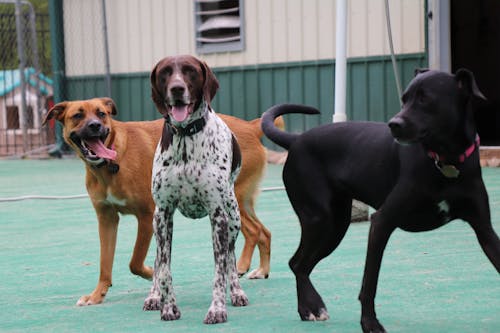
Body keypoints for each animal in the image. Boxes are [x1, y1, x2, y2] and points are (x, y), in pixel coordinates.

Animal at [42, 95, 276, 304]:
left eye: (101, 114)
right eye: (77, 115)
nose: (95, 126)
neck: (113, 160)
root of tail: (251, 127)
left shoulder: (147, 216)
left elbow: (135, 262)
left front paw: (151, 274)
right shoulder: (107, 219)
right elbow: (104, 263)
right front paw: (98, 294)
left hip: (231, 200)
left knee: (254, 231)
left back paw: (241, 268)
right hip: (241, 202)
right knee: (264, 232)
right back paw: (261, 270)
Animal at [143, 55, 248, 322]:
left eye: (190, 70)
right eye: (165, 72)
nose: (177, 89)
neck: (185, 137)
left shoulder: (218, 215)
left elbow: (220, 270)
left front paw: (217, 309)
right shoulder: (163, 213)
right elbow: (164, 268)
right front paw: (168, 306)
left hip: (233, 218)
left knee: (231, 257)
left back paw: (237, 292)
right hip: (156, 223)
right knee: (157, 260)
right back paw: (153, 296)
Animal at [262, 68, 500, 332]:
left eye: (425, 99)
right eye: (404, 99)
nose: (393, 124)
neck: (445, 161)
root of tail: (297, 140)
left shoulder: (484, 229)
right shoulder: (382, 222)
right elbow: (370, 283)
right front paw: (370, 323)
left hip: (336, 226)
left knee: (301, 264)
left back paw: (309, 308)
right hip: (319, 220)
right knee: (297, 263)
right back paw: (309, 308)